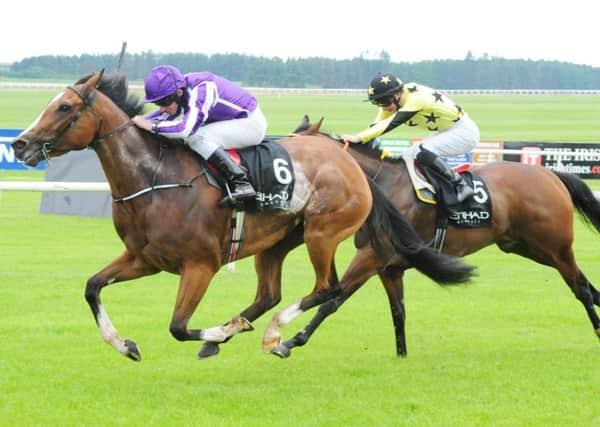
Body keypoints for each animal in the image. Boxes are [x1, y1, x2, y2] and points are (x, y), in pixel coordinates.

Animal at [11, 71, 476, 362]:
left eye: (64, 107)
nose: (19, 144)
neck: (155, 178)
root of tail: (352, 166)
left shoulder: (200, 264)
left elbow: (178, 326)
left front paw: (217, 332)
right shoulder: (143, 259)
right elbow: (92, 287)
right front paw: (125, 345)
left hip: (322, 233)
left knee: (327, 288)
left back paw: (273, 336)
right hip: (277, 242)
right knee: (271, 293)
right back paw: (244, 331)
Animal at [274, 116, 600, 358]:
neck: (382, 185)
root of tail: (552, 175)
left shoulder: (371, 256)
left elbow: (333, 300)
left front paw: (290, 342)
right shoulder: (389, 267)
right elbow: (398, 312)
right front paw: (402, 356)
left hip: (554, 246)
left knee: (581, 288)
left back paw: (597, 329)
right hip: (528, 247)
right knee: (586, 284)